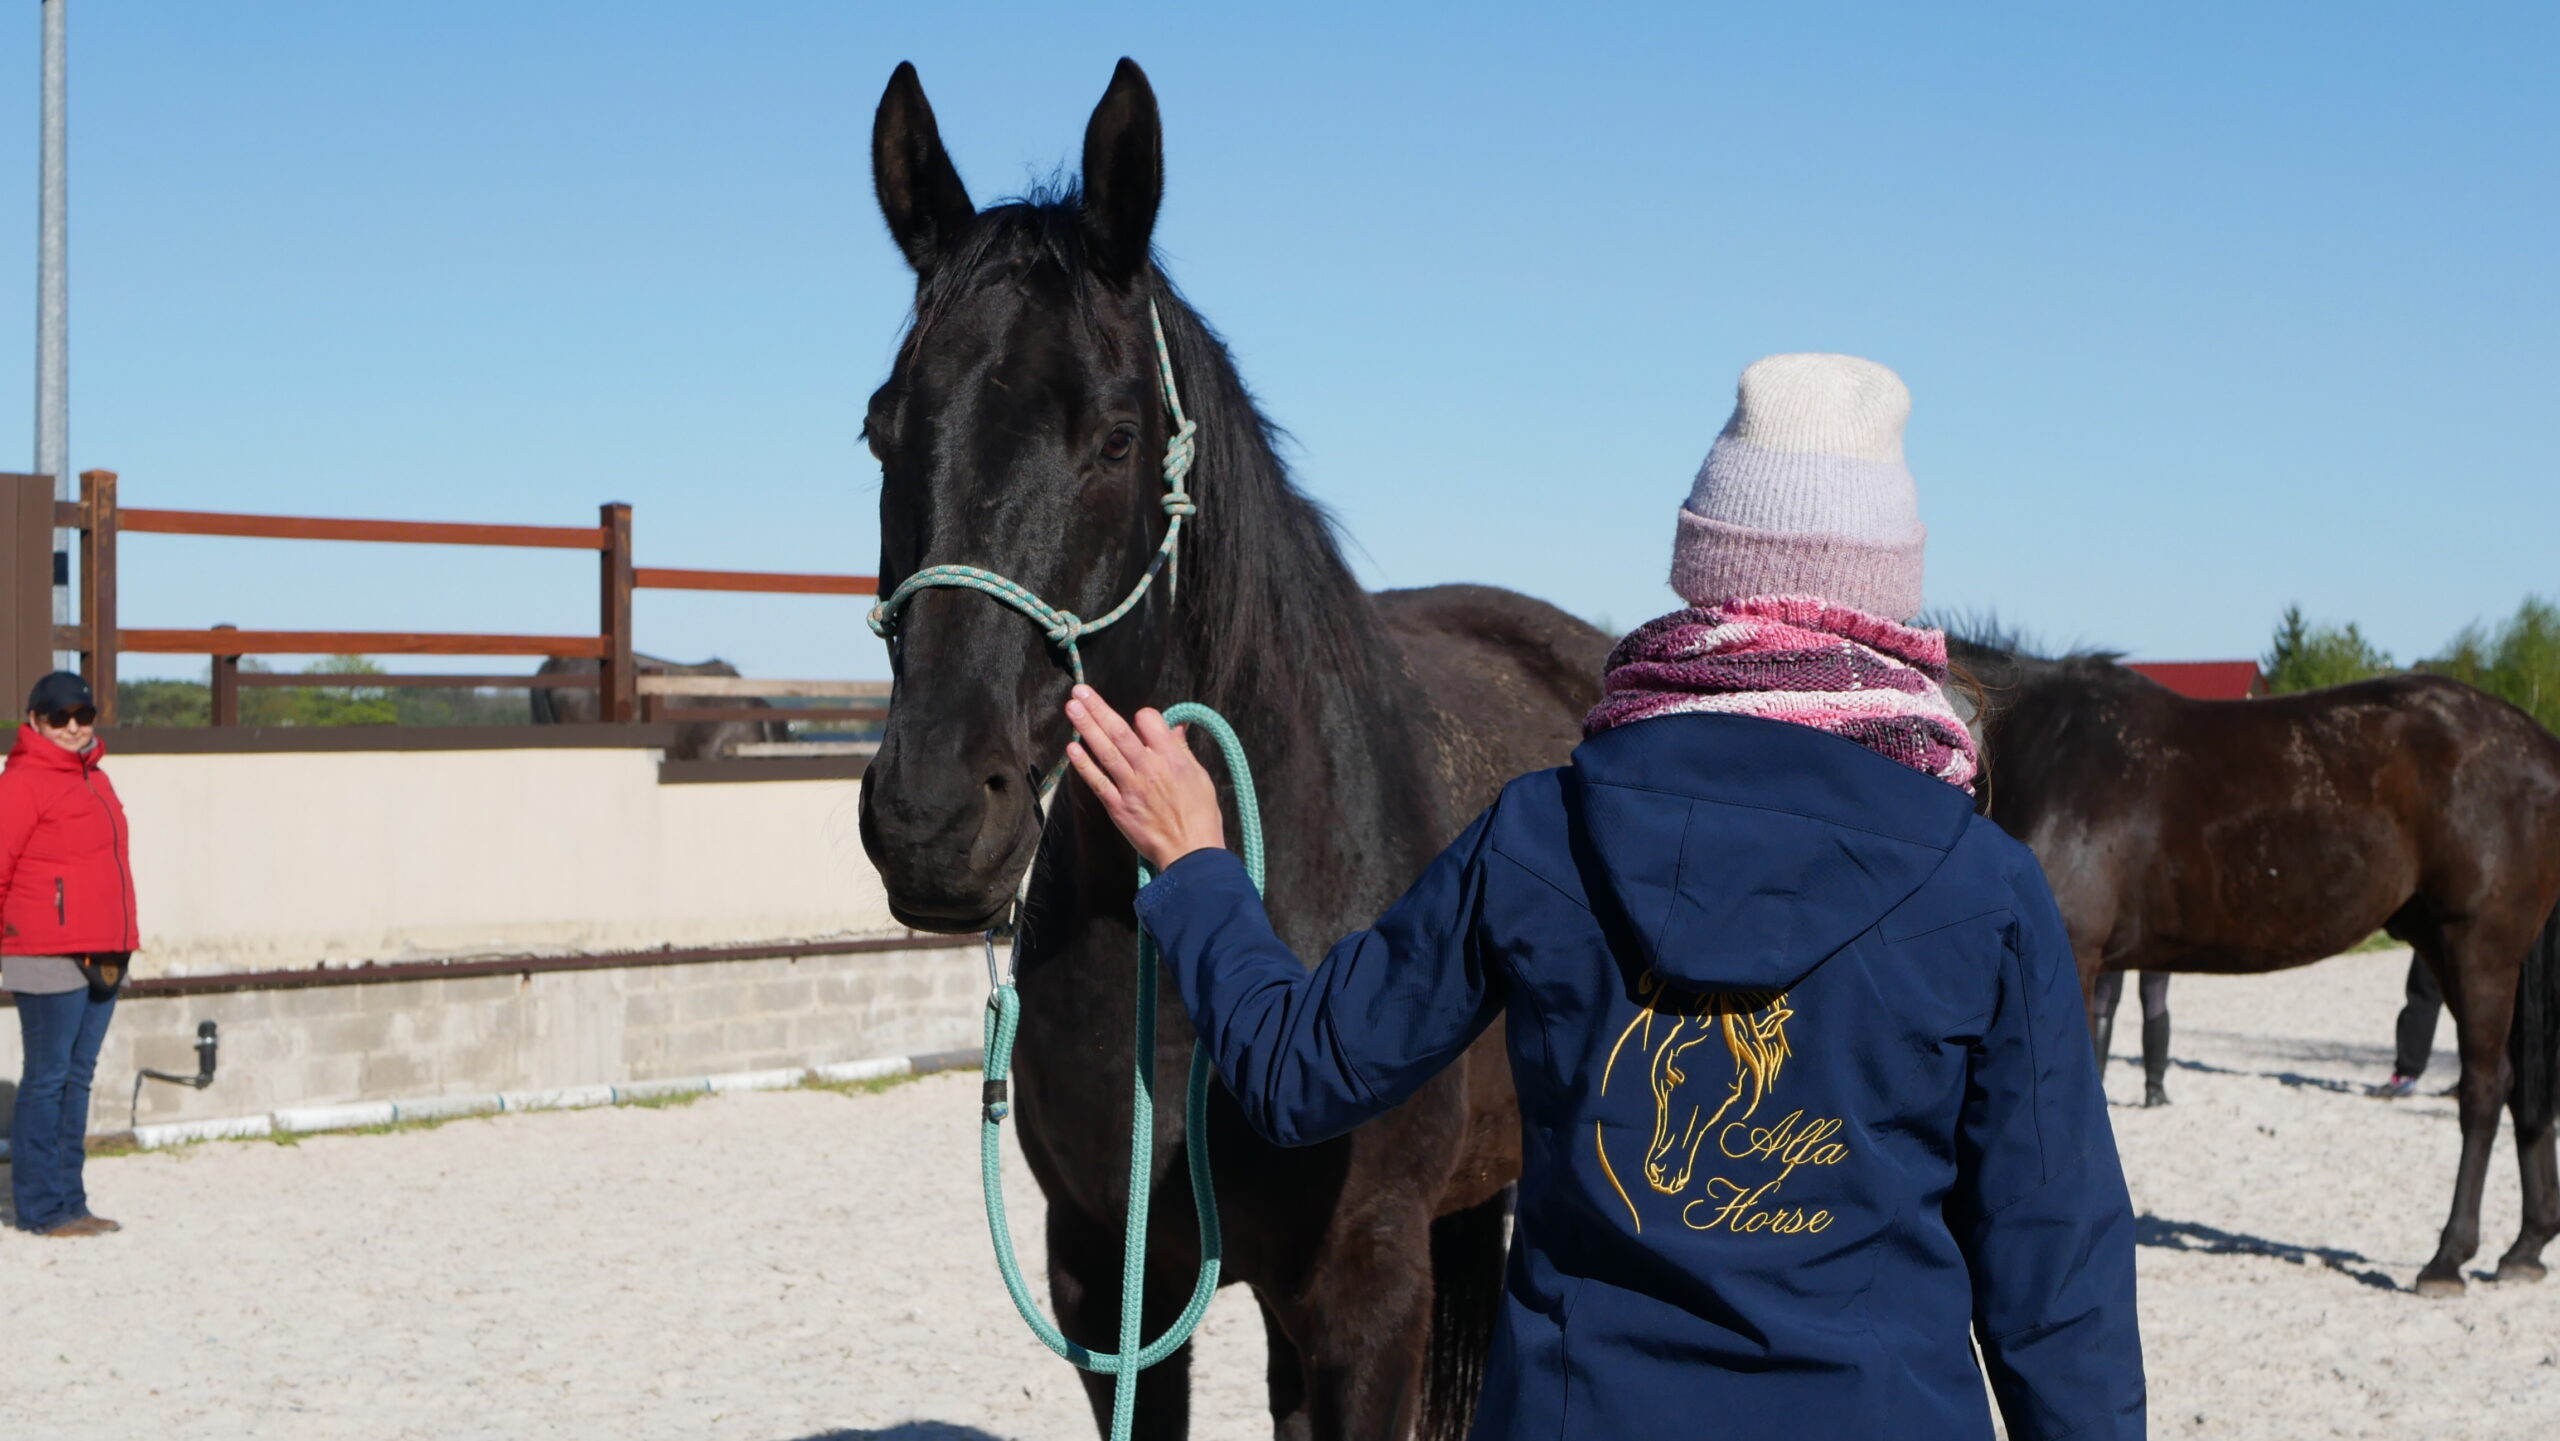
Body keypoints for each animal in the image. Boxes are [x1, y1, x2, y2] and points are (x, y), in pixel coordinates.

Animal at [1950, 637, 2560, 1295]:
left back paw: (2448, 1258)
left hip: (2478, 947)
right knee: (2522, 1087)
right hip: (2461, 949)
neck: (2044, 750)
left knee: (2485, 1089)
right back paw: (2526, 1246)